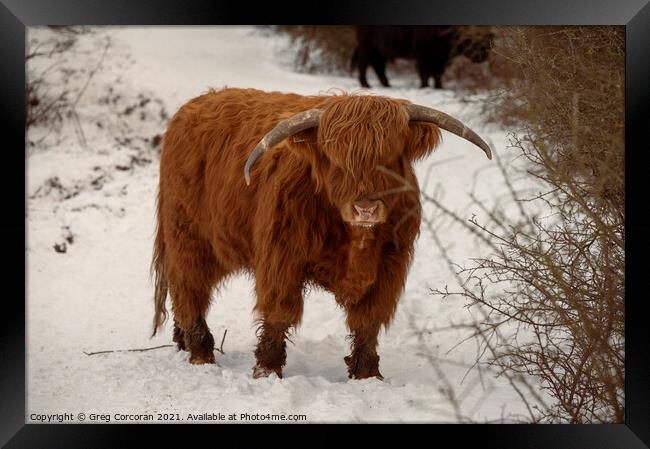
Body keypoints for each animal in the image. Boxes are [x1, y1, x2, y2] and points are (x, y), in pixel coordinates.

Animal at [149, 86, 488, 378]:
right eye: (336, 160)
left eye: (392, 158)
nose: (365, 208)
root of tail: (193, 106)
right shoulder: (281, 258)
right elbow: (279, 313)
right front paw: (267, 370)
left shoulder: (389, 267)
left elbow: (368, 320)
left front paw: (367, 374)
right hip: (188, 235)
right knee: (189, 287)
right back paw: (200, 352)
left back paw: (182, 341)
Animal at [350, 26, 492, 90]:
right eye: (473, 38)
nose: (485, 55)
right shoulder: (424, 56)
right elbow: (425, 74)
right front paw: (425, 86)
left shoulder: (440, 59)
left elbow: (436, 74)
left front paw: (438, 87)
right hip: (367, 47)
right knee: (364, 64)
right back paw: (366, 85)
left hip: (378, 51)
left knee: (378, 66)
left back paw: (387, 84)